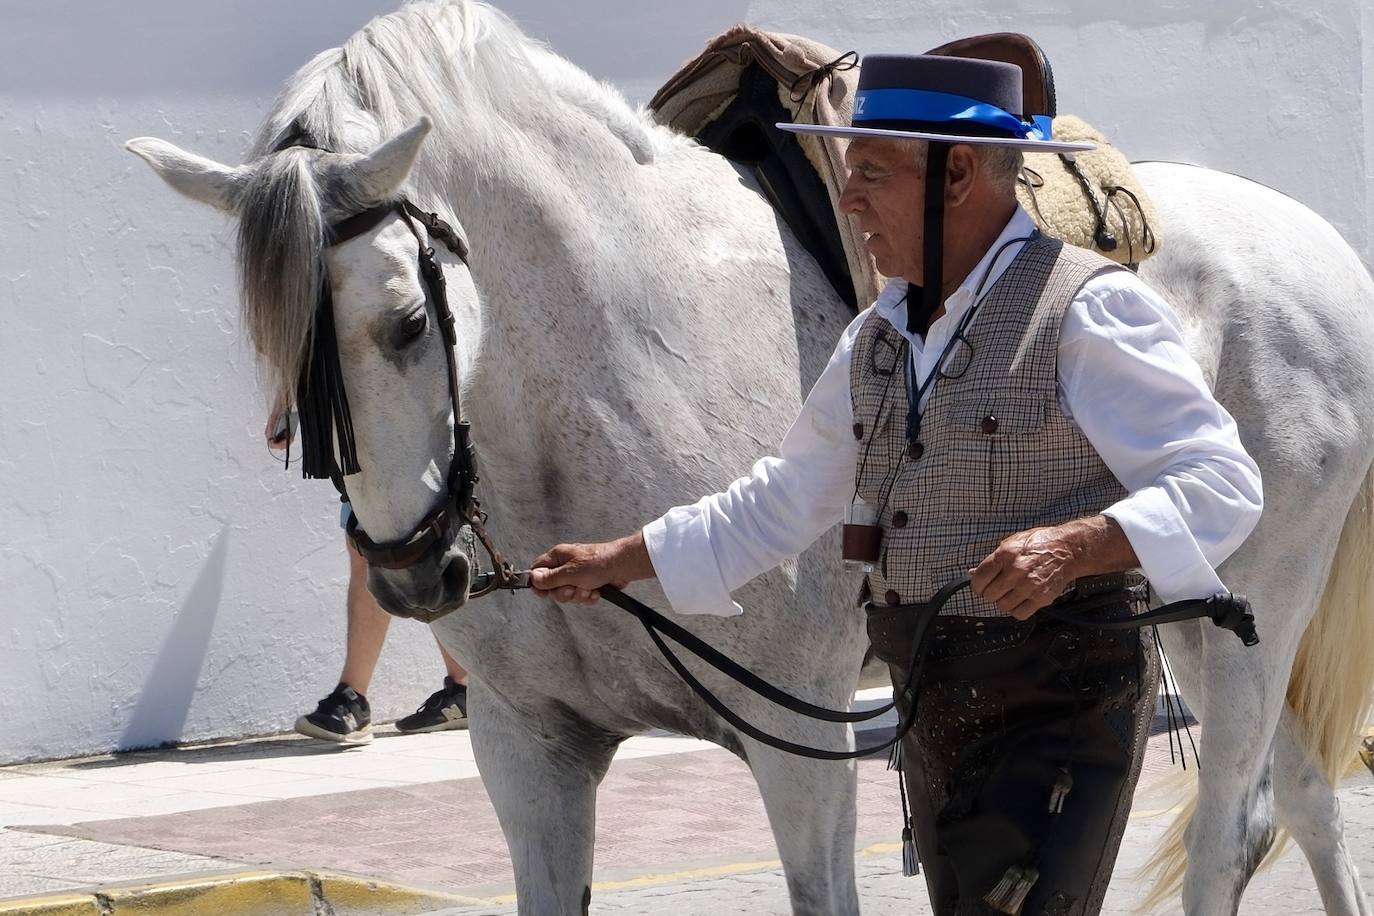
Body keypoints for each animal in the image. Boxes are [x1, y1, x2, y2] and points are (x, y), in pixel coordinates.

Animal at [126, 3, 1374, 911]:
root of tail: (1327, 256)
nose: (409, 573)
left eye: (404, 323)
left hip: (1247, 616)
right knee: (1309, 802)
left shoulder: (803, 747)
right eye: (275, 350)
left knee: (1234, 831)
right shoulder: (531, 749)